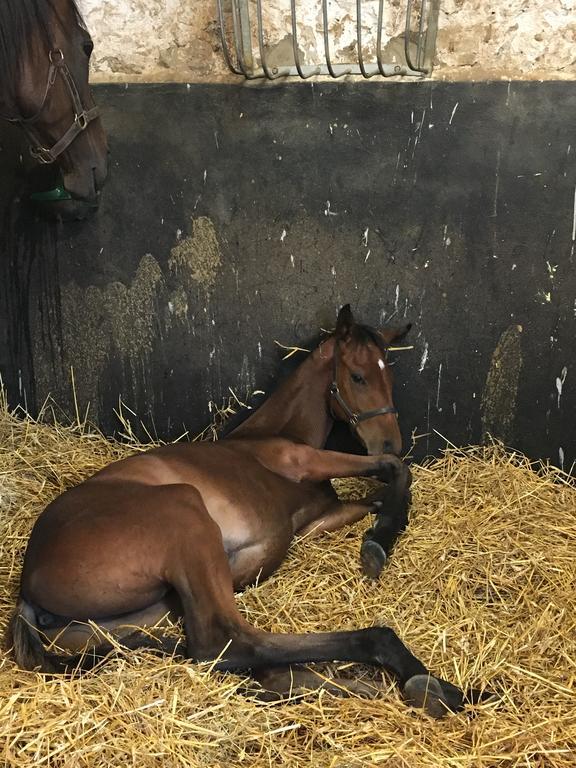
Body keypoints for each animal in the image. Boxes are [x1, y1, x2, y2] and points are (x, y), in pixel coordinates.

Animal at [6, 308, 488, 720]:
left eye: (390, 378)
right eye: (357, 376)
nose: (391, 441)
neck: (281, 432)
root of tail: (28, 586)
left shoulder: (316, 519)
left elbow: (381, 494)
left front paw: (378, 538)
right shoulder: (304, 460)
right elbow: (393, 470)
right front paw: (377, 547)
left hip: (144, 611)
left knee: (210, 651)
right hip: (183, 511)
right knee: (227, 643)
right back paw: (426, 681)